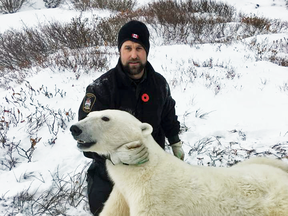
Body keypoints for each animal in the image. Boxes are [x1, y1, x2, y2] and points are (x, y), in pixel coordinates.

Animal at [70, 110, 288, 215]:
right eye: (88, 114)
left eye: (105, 118)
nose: (75, 128)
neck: (141, 175)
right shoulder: (121, 195)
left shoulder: (153, 202)